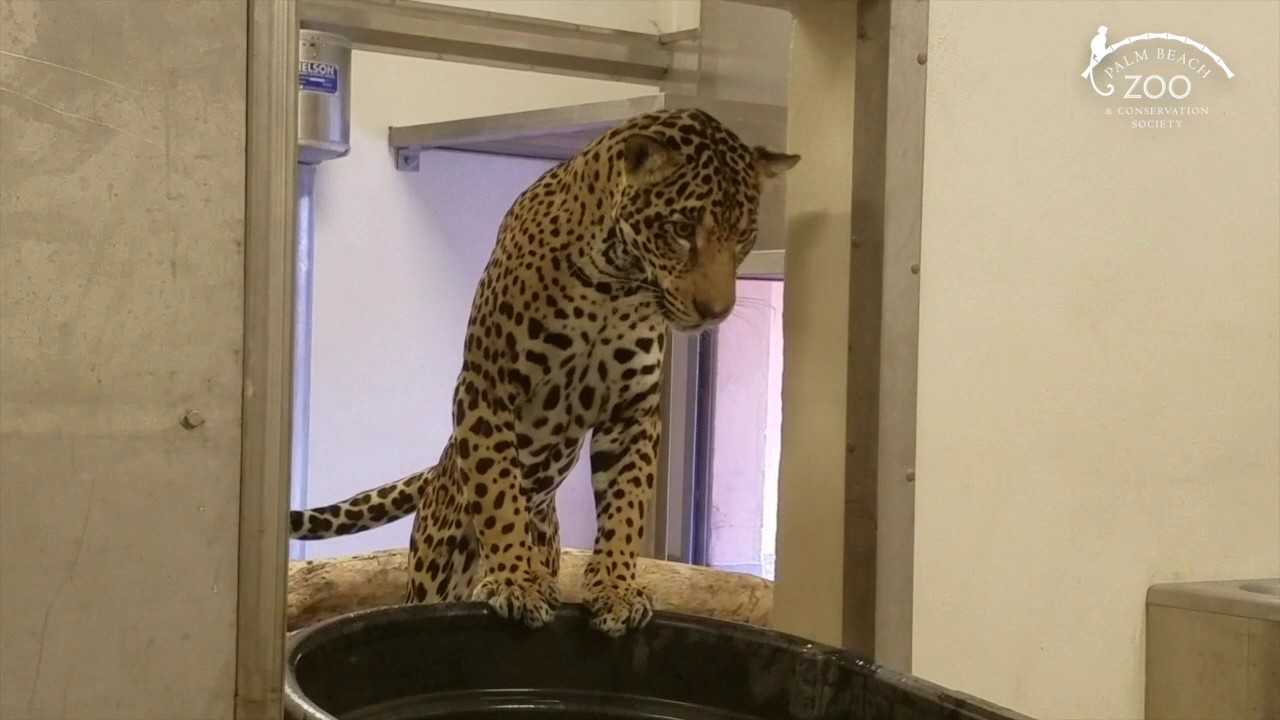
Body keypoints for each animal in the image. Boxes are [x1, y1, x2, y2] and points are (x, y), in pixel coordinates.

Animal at [288, 107, 800, 637]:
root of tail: (440, 466)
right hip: (436, 563)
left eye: (744, 237)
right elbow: (497, 491)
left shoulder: (632, 411)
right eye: (681, 228)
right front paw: (515, 578)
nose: (716, 312)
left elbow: (627, 504)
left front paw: (616, 586)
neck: (616, 284)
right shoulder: (487, 386)